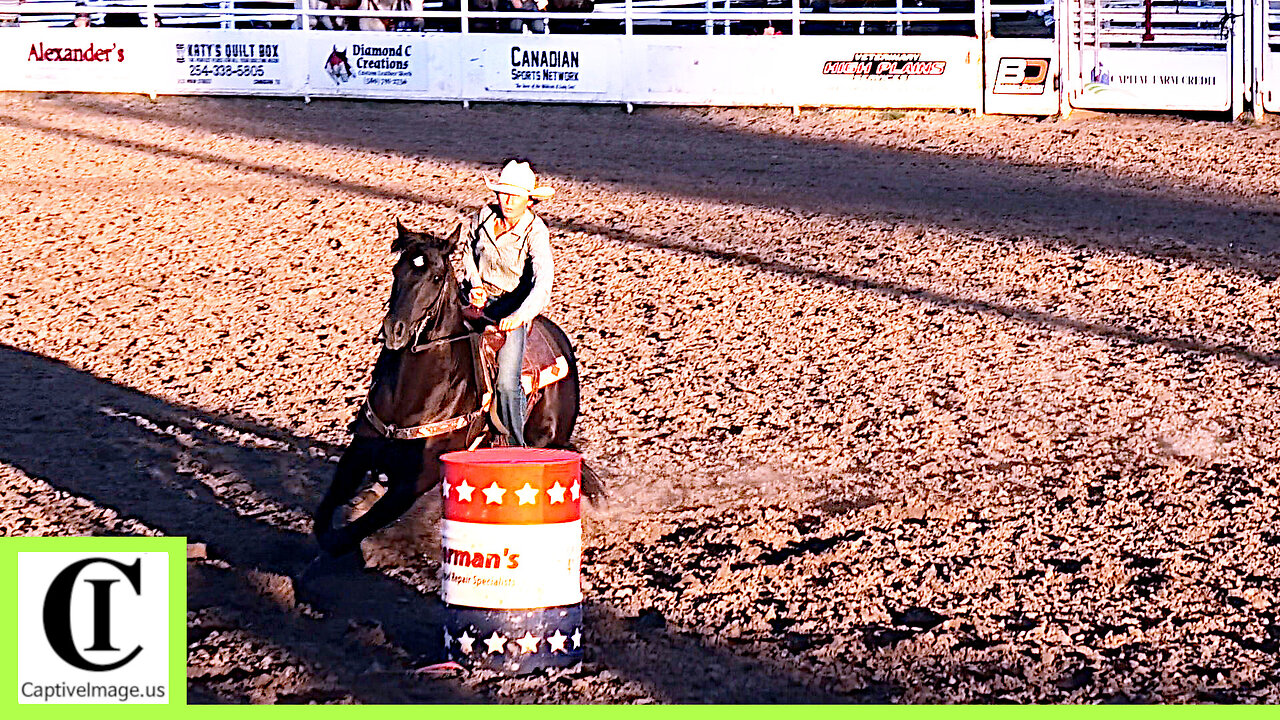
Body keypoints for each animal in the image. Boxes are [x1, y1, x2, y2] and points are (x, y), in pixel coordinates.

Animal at [313, 221, 604, 563]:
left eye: (437, 276)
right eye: (398, 269)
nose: (395, 331)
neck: (410, 396)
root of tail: (560, 341)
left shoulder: (415, 481)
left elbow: (353, 531)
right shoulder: (359, 451)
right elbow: (325, 518)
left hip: (545, 440)